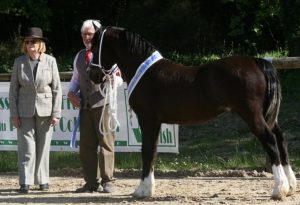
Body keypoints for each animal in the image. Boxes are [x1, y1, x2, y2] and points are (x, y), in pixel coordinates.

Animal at [88, 26, 296, 200]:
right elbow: (153, 151)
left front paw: (142, 190)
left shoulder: (147, 119)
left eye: (96, 46)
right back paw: (291, 186)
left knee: (270, 141)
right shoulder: (156, 122)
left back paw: (279, 189)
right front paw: (147, 188)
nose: (91, 74)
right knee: (281, 140)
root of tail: (256, 61)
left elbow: (147, 151)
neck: (145, 72)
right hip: (268, 116)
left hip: (252, 115)